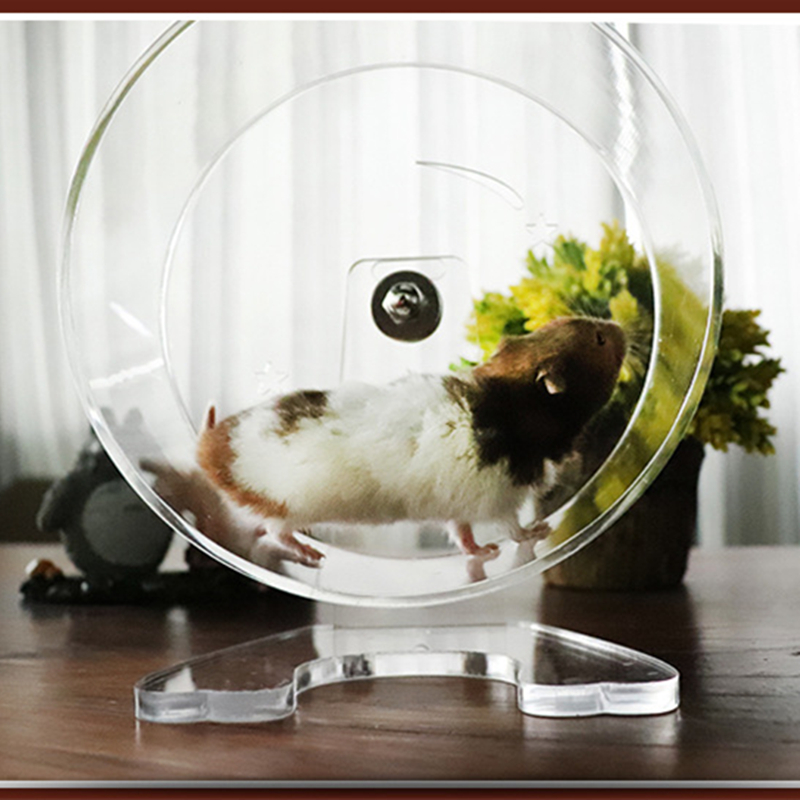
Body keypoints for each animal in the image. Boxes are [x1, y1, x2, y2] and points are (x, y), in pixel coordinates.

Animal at [195, 316, 627, 568]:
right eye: (600, 340)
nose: (619, 326)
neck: (518, 405)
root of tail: (213, 449)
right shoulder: (502, 497)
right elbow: (514, 529)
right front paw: (541, 531)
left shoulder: (461, 506)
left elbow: (463, 533)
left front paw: (483, 553)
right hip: (288, 507)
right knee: (276, 533)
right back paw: (313, 554)